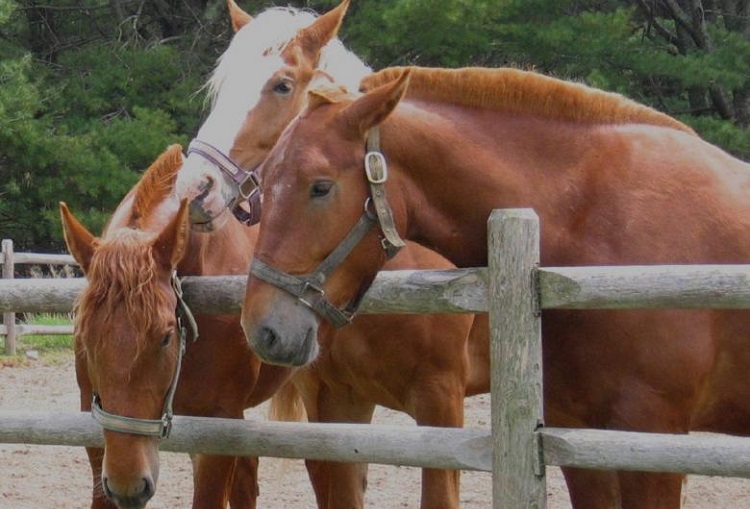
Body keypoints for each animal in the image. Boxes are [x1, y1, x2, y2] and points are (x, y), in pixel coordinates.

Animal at [241, 67, 750, 508]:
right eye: (263, 183)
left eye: (320, 187)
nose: (262, 329)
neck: (594, 223)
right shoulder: (577, 437)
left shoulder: (650, 440)